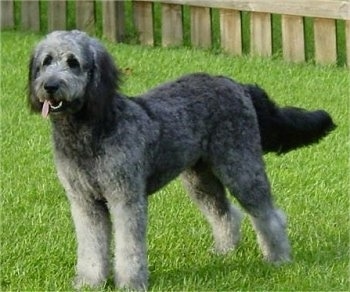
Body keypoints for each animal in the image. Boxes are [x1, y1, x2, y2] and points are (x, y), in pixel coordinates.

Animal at [27, 30, 334, 290]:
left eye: (73, 62)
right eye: (46, 61)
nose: (50, 86)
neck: (89, 134)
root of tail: (237, 85)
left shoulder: (126, 199)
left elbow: (129, 248)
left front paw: (131, 282)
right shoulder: (84, 202)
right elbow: (91, 246)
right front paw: (90, 281)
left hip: (241, 168)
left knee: (269, 215)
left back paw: (278, 257)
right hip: (200, 179)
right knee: (225, 213)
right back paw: (225, 251)